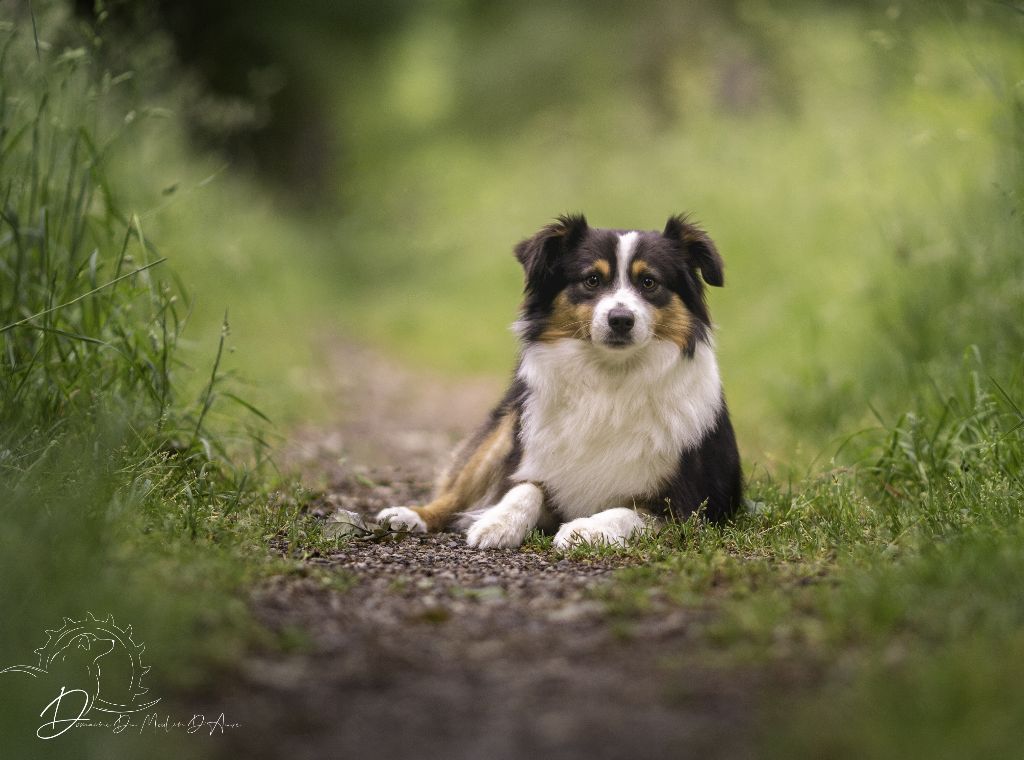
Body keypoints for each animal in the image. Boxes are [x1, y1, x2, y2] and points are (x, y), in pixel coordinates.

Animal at [374, 213, 737, 549]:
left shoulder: (686, 506)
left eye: (649, 282)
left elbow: (624, 512)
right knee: (455, 492)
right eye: (592, 280)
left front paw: (584, 530)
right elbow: (525, 488)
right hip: (505, 430)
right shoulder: (533, 462)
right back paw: (411, 515)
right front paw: (497, 523)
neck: (609, 379)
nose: (620, 319)